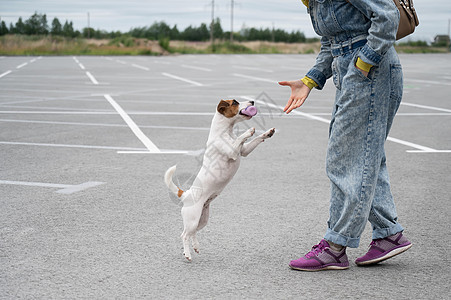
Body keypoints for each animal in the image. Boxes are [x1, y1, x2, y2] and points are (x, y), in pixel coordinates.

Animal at [163, 99, 274, 262]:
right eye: (235, 102)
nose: (252, 101)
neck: (225, 132)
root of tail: (185, 195)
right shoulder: (232, 151)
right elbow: (241, 138)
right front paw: (248, 131)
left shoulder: (244, 151)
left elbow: (255, 140)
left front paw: (268, 133)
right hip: (192, 219)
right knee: (184, 235)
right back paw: (188, 254)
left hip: (202, 220)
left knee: (192, 233)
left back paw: (195, 247)